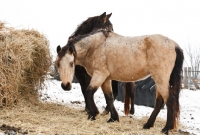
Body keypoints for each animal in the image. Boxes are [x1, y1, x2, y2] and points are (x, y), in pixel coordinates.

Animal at [55, 29, 184, 134]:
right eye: (57, 64)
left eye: (71, 64)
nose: (65, 86)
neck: (96, 46)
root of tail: (175, 45)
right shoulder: (106, 79)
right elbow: (109, 97)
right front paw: (113, 118)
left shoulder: (99, 75)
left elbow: (89, 93)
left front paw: (93, 114)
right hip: (159, 80)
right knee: (159, 102)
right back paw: (148, 125)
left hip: (161, 79)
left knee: (169, 100)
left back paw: (166, 128)